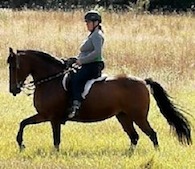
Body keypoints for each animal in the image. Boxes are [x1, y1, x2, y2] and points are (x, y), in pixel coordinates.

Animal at [7, 47, 192, 152]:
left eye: (14, 66)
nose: (13, 90)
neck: (50, 80)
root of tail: (142, 81)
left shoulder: (52, 117)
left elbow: (56, 139)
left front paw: (51, 153)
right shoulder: (44, 116)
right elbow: (23, 123)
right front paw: (21, 145)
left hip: (138, 117)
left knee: (151, 134)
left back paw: (156, 153)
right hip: (123, 116)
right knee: (134, 137)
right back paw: (128, 155)